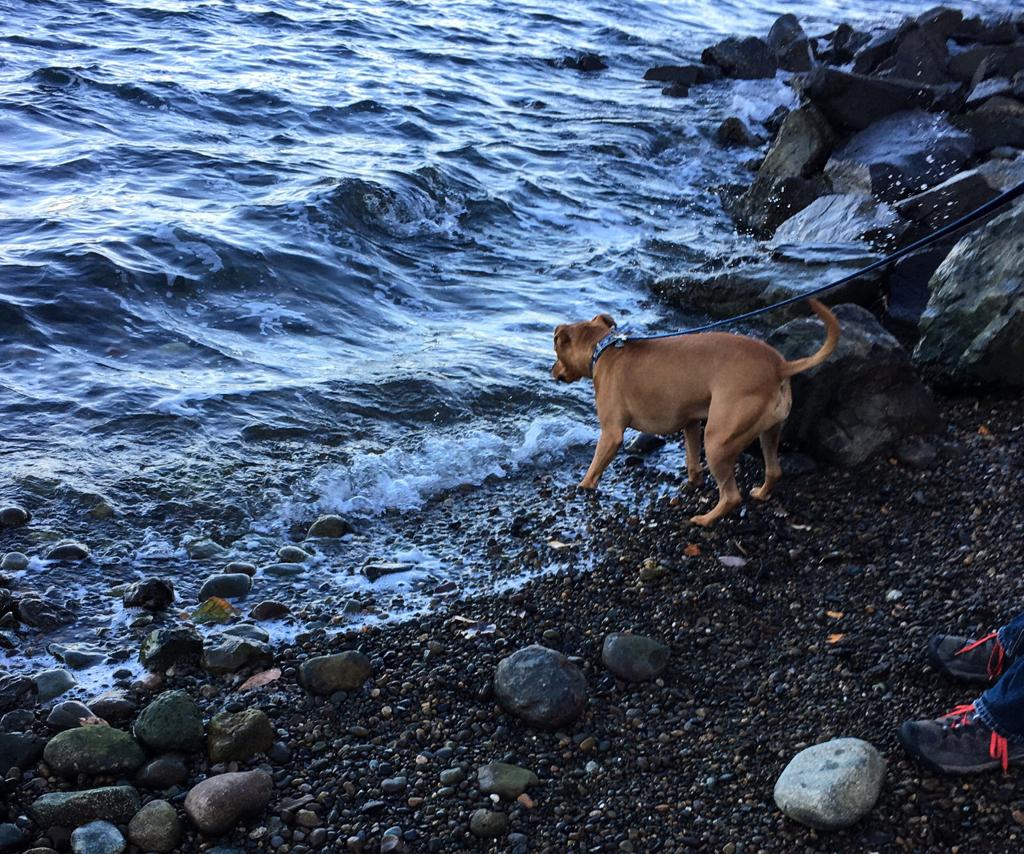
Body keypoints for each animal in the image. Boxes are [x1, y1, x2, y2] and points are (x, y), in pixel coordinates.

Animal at [552, 299, 839, 524]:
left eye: (556, 351)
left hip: (717, 440)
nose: (551, 370)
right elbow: (692, 458)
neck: (603, 349)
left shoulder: (611, 433)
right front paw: (694, 482)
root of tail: (780, 366)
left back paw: (705, 519)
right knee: (774, 470)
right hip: (768, 431)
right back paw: (759, 494)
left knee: (732, 495)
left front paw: (582, 487)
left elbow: (594, 468)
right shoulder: (690, 422)